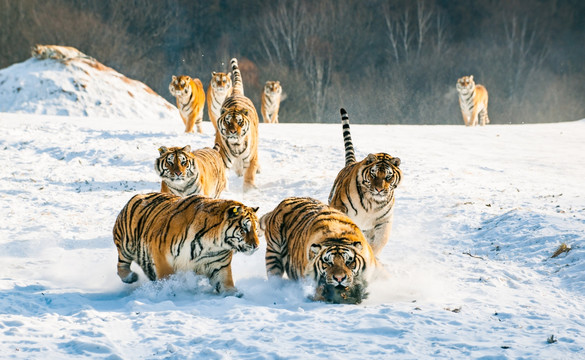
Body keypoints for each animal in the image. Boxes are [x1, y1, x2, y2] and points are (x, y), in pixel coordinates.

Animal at [113, 191, 258, 296]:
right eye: (244, 229)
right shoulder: (161, 255)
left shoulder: (220, 265)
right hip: (126, 244)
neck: (212, 244)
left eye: (256, 229)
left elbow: (226, 283)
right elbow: (167, 278)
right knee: (121, 264)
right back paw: (130, 277)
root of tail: (138, 195)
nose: (256, 246)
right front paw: (167, 292)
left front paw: (236, 295)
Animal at [213, 57, 258, 191]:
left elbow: (249, 175)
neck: (236, 145)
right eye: (227, 121)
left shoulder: (251, 158)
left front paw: (248, 190)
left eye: (239, 122)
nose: (232, 131)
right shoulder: (223, 157)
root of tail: (236, 93)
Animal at [326, 108, 404, 258]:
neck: (372, 203)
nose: (379, 190)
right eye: (373, 174)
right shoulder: (340, 207)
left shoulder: (384, 221)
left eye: (388, 176)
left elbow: (379, 241)